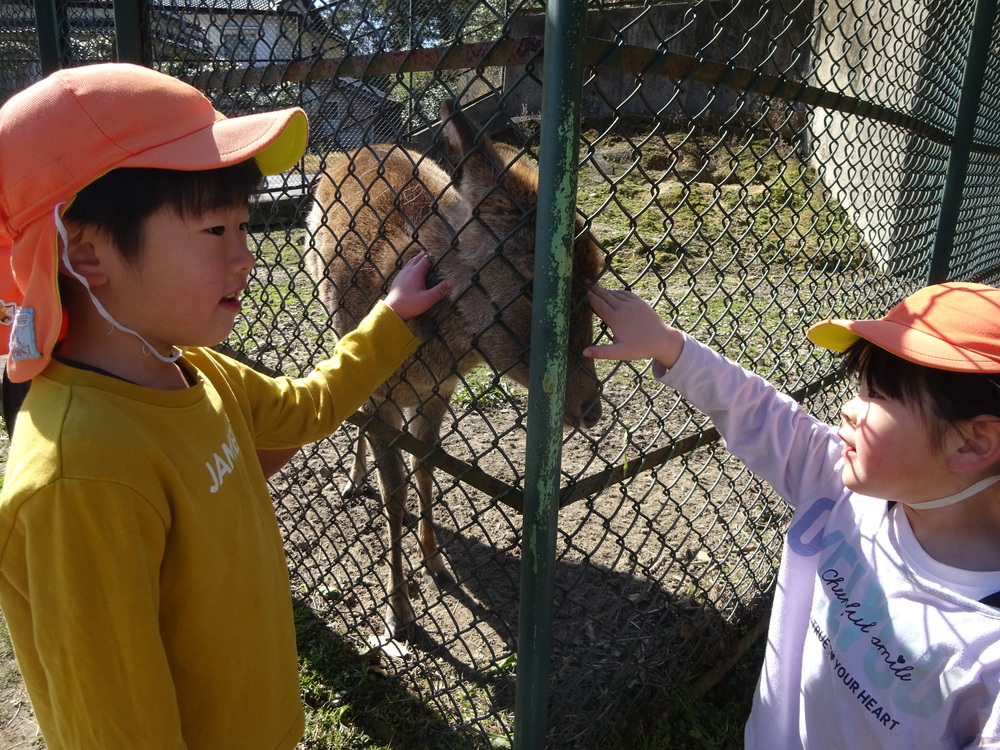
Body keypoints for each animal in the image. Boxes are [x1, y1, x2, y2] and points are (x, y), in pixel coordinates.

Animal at [304, 100, 600, 636]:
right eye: (533, 285)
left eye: (601, 271)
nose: (591, 405)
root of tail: (351, 150)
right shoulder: (382, 395)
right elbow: (394, 494)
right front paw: (399, 612)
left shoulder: (439, 391)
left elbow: (426, 469)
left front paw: (436, 564)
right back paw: (353, 479)